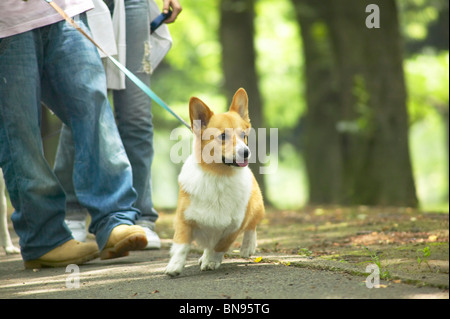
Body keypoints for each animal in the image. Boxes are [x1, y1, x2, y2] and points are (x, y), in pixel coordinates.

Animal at [164, 88, 264, 278]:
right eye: (223, 136)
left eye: (244, 135)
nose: (246, 152)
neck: (218, 175)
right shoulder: (184, 220)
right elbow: (181, 246)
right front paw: (174, 267)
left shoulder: (233, 228)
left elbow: (219, 246)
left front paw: (211, 262)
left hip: (256, 207)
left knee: (252, 226)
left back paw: (247, 247)